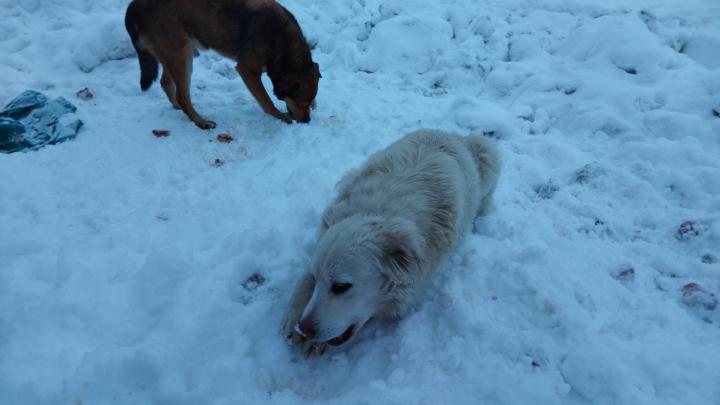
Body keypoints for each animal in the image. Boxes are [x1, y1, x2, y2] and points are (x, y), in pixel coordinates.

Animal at [124, 0, 320, 128]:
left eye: (310, 102)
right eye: (301, 103)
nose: (307, 121)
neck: (283, 43)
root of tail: (134, 6)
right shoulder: (247, 70)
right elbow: (266, 101)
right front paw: (279, 116)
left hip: (176, 53)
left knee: (167, 84)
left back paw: (179, 108)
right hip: (182, 55)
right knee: (182, 95)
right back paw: (201, 122)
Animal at [282, 129, 500, 354]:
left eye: (341, 287)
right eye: (315, 279)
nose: (304, 329)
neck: (382, 211)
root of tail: (454, 135)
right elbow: (304, 278)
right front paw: (294, 314)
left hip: (487, 152)